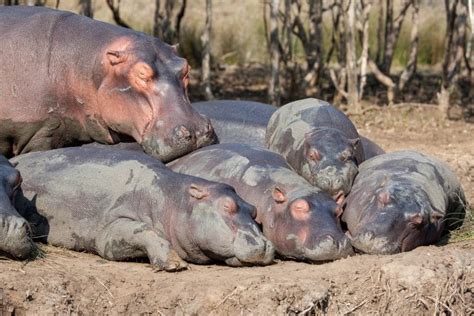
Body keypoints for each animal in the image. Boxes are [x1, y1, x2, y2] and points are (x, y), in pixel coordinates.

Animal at [12, 148, 274, 270]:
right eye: (227, 206)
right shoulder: (112, 226)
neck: (172, 199)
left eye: (253, 210)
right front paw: (175, 264)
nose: (264, 244)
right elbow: (143, 231)